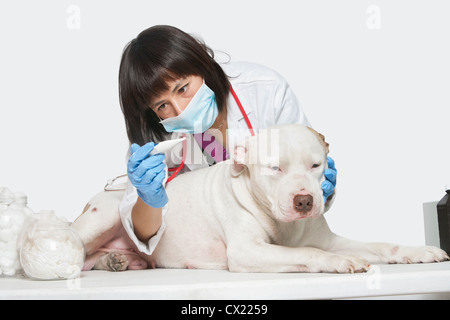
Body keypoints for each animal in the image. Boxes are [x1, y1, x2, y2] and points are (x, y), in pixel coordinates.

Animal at [72, 124, 448, 272]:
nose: (304, 201)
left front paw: (420, 251)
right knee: (78, 248)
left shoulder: (330, 240)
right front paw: (338, 263)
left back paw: (117, 261)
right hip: (104, 215)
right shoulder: (247, 251)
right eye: (274, 168)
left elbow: (381, 246)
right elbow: (308, 253)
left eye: (316, 165)